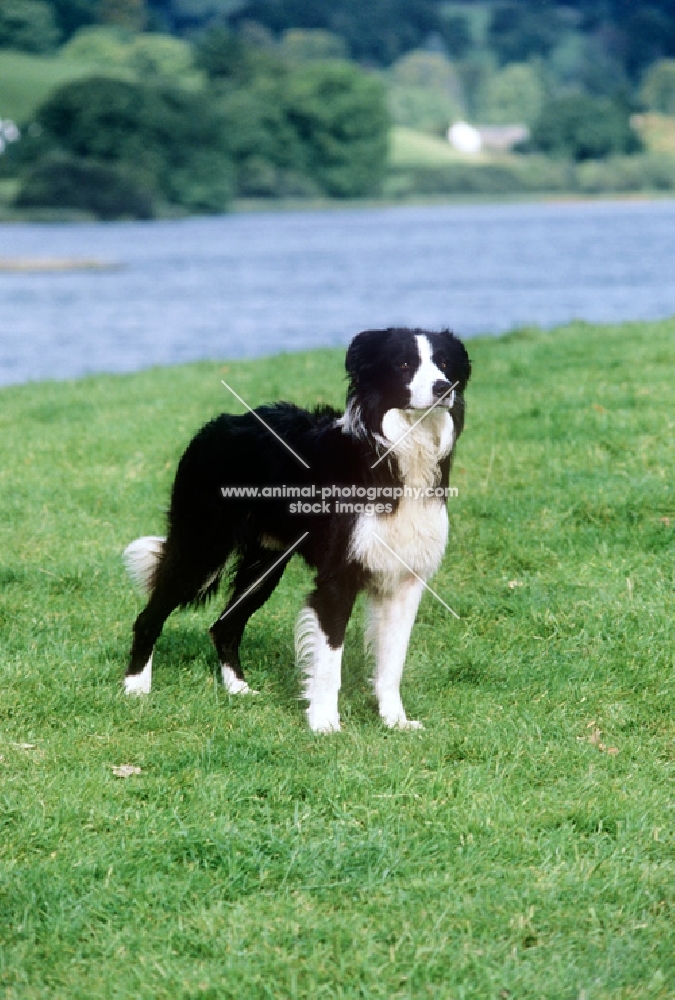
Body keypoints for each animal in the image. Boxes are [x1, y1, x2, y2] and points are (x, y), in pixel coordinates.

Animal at [124, 332, 470, 732]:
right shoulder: (337, 577)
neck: (398, 452)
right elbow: (330, 658)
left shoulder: (405, 578)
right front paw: (324, 723)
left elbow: (392, 661)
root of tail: (215, 425)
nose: (443, 388)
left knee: (224, 626)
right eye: (403, 364)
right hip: (202, 548)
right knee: (149, 617)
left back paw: (238, 689)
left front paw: (395, 721)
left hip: (264, 564)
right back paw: (135, 687)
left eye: (444, 364)